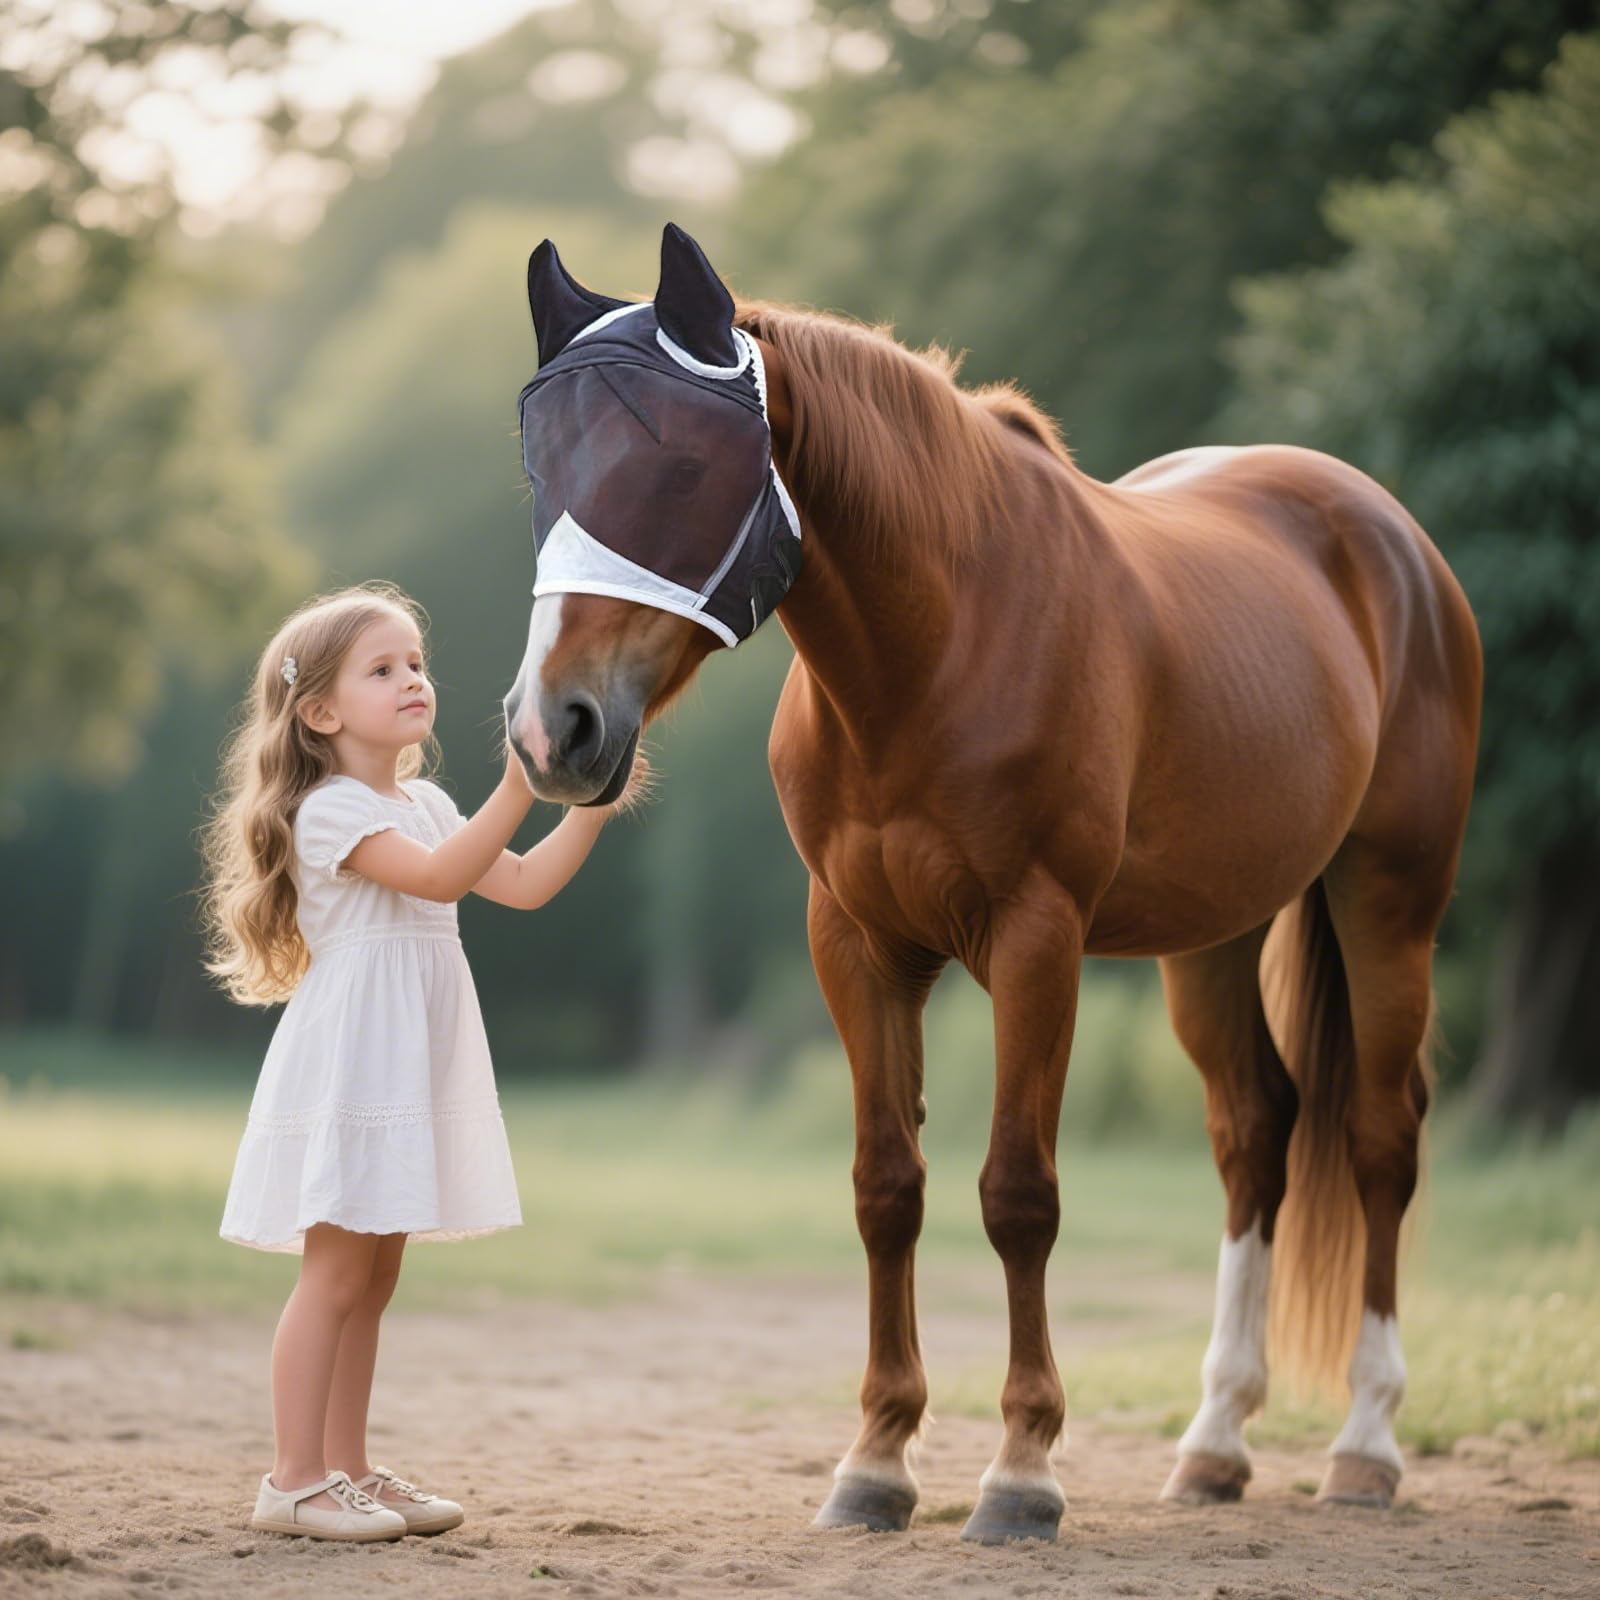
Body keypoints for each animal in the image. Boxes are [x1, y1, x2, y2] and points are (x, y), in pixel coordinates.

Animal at [504, 224, 1482, 1544]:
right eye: (542, 477)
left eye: (682, 469)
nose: (552, 730)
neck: (939, 646)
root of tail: (1388, 537)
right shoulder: (854, 944)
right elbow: (886, 1189)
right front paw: (874, 1461)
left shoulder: (1035, 941)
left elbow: (1017, 1195)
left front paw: (1020, 1472)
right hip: (1211, 938)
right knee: (1254, 1134)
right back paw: (1214, 1443)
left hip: (1389, 902)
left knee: (1380, 1138)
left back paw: (1364, 1445)